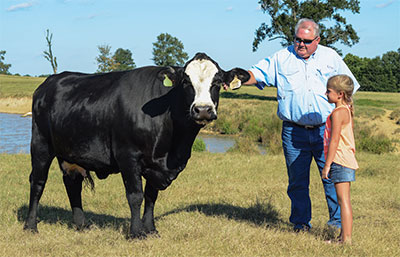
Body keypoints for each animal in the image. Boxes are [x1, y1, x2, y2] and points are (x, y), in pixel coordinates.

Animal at [23, 52, 248, 238]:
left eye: (217, 82)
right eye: (186, 81)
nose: (202, 109)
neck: (173, 148)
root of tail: (51, 81)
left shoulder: (156, 165)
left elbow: (151, 197)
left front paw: (151, 229)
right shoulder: (127, 156)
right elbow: (135, 196)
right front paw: (136, 232)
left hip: (70, 151)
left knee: (72, 182)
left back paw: (81, 225)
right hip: (41, 144)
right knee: (38, 181)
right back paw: (31, 226)